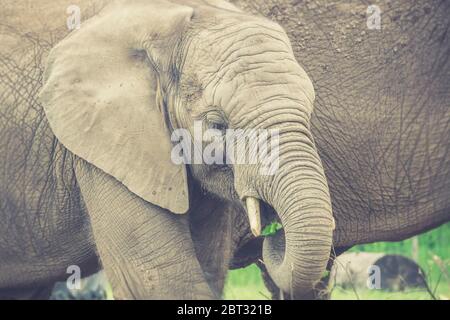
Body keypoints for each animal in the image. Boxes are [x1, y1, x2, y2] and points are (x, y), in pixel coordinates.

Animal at [0, 0, 448, 300]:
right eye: (218, 126)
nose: (271, 239)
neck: (166, 24)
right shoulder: (100, 143)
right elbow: (162, 278)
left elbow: (207, 269)